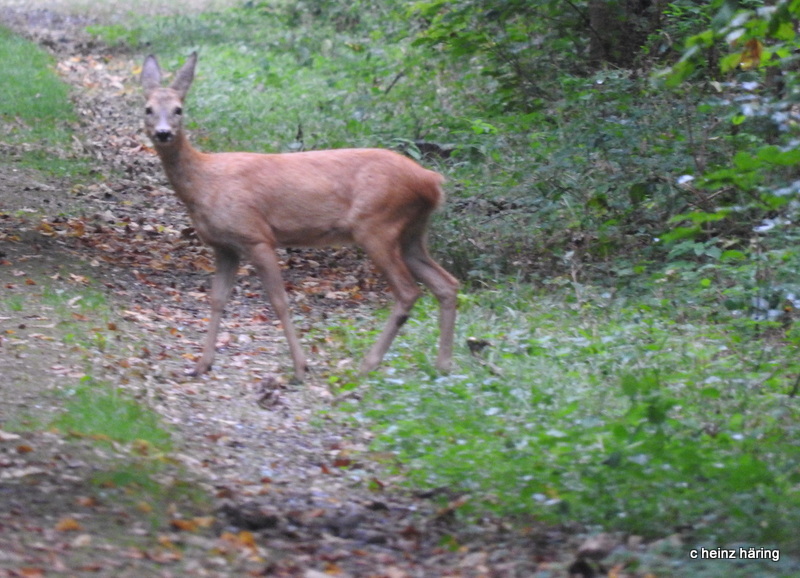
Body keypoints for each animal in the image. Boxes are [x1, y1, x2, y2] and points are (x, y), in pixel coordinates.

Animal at [141, 51, 460, 380]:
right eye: (148, 109)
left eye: (179, 109)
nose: (163, 133)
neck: (205, 182)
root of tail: (432, 181)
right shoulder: (224, 246)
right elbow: (217, 300)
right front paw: (201, 365)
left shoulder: (255, 235)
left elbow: (279, 301)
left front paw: (300, 366)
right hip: (412, 231)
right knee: (447, 284)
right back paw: (443, 365)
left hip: (377, 225)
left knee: (409, 291)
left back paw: (368, 364)